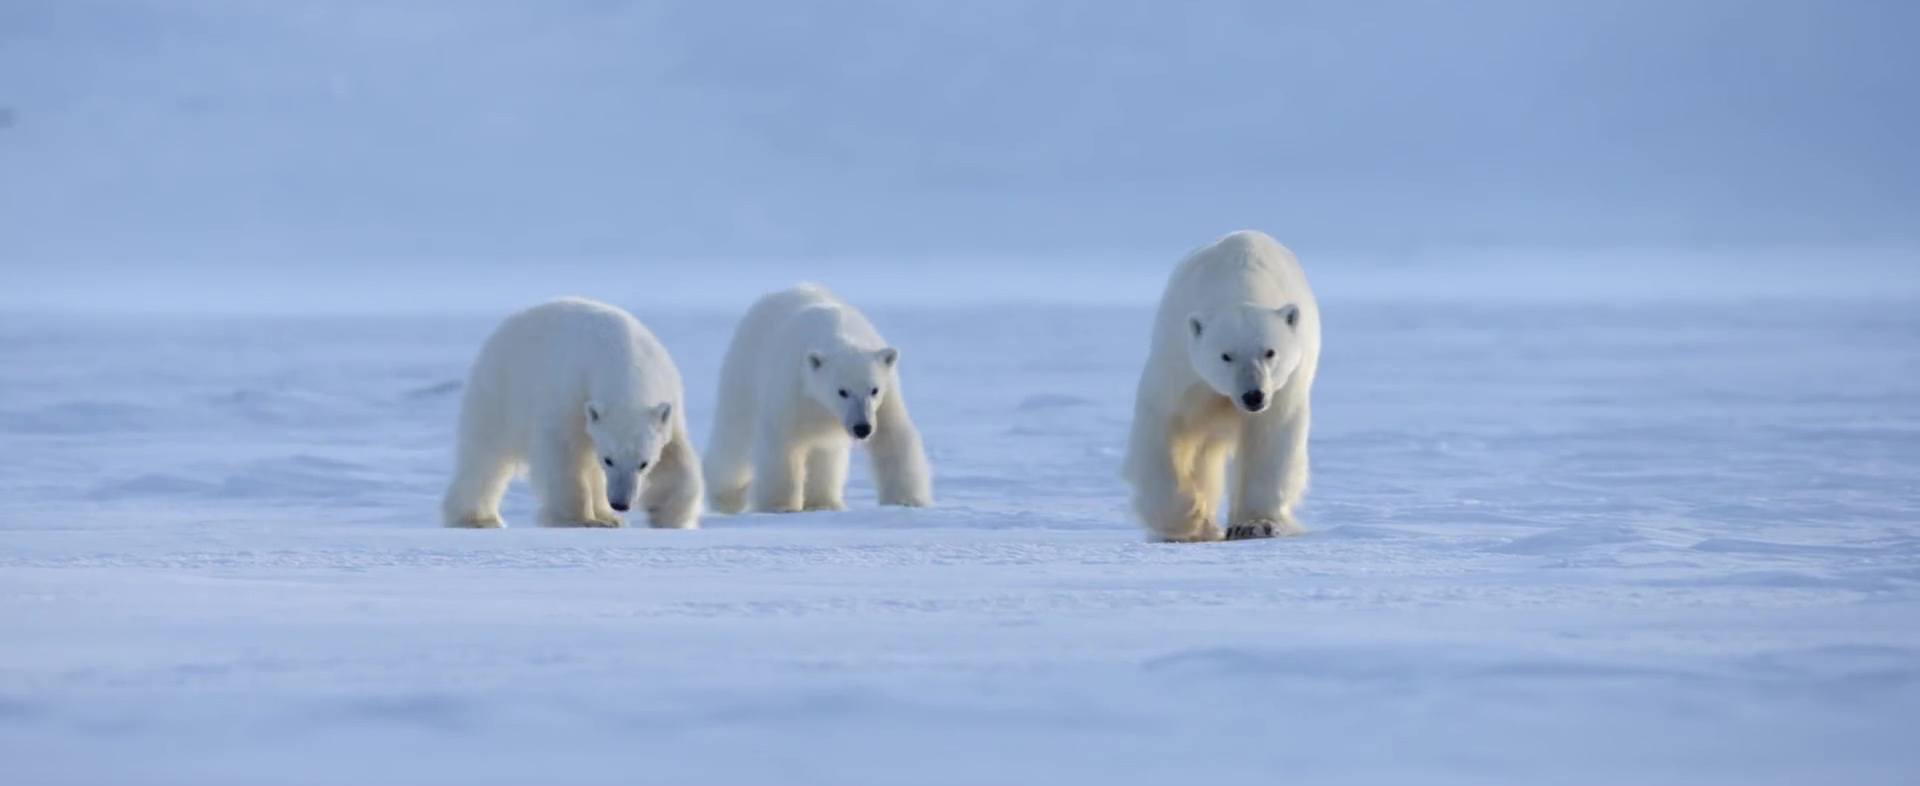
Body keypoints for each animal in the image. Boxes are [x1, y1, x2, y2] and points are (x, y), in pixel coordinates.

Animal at [441, 297, 703, 529]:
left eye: (643, 463)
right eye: (609, 459)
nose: (620, 503)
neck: (622, 355)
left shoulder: (669, 402)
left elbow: (676, 455)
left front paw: (668, 515)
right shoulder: (570, 392)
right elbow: (563, 453)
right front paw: (578, 520)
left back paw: (609, 516)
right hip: (501, 388)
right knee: (485, 453)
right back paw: (476, 519)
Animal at [703, 284, 932, 513]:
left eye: (874, 390)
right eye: (842, 391)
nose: (862, 428)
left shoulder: (886, 398)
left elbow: (892, 436)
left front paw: (907, 500)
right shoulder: (794, 390)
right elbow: (782, 443)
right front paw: (781, 506)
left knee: (825, 454)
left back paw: (823, 502)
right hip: (744, 371)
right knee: (734, 435)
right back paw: (726, 497)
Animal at [1122, 230, 1321, 542]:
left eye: (1270, 352)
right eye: (1226, 355)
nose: (1253, 396)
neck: (1240, 283)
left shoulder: (1285, 387)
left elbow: (1270, 439)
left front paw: (1256, 524)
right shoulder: (1182, 368)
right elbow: (1164, 429)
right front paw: (1190, 519)